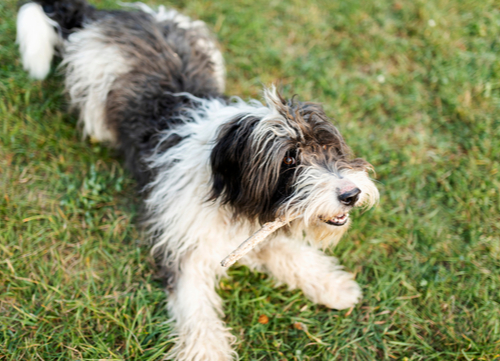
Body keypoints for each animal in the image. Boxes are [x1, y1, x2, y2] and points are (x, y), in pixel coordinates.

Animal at [17, 1, 380, 358]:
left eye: (329, 146)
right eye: (290, 158)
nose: (351, 194)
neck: (225, 187)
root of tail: (102, 14)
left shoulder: (260, 225)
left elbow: (290, 253)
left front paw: (333, 285)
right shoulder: (183, 246)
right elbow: (197, 308)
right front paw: (206, 350)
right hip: (93, 100)